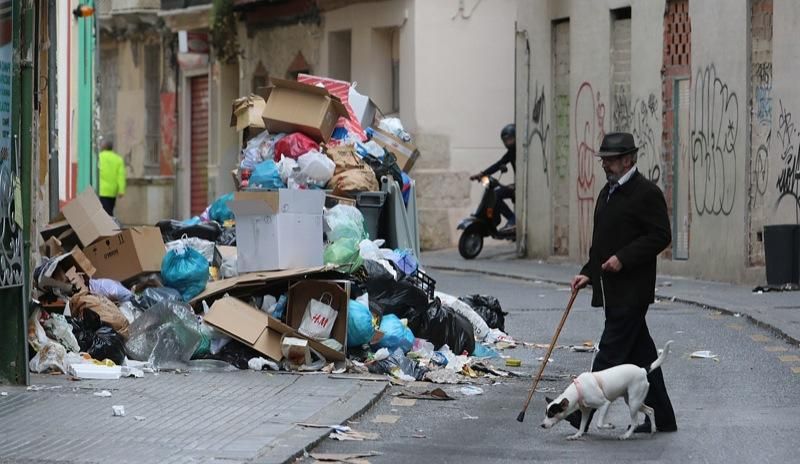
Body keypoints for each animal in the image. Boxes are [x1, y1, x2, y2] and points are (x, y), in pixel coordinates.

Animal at [540, 338, 672, 440]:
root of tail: (642, 370)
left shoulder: (605, 404)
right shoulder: (586, 411)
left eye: (551, 414)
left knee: (635, 422)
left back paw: (626, 435)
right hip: (633, 401)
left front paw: (609, 426)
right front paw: (577, 435)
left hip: (634, 402)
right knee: (650, 410)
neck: (578, 390)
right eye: (546, 413)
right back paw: (653, 429)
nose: (542, 425)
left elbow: (599, 424)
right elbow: (582, 425)